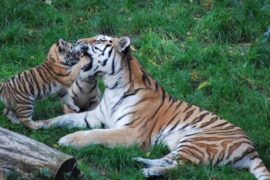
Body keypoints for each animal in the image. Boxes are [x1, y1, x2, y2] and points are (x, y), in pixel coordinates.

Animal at [38, 35, 270, 179]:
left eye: (100, 40)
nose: (78, 41)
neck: (112, 86)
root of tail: (252, 147)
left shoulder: (130, 132)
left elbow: (96, 134)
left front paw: (67, 140)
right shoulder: (95, 117)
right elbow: (63, 118)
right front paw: (39, 124)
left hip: (197, 142)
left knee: (183, 168)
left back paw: (148, 172)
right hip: (180, 143)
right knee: (171, 161)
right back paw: (140, 162)